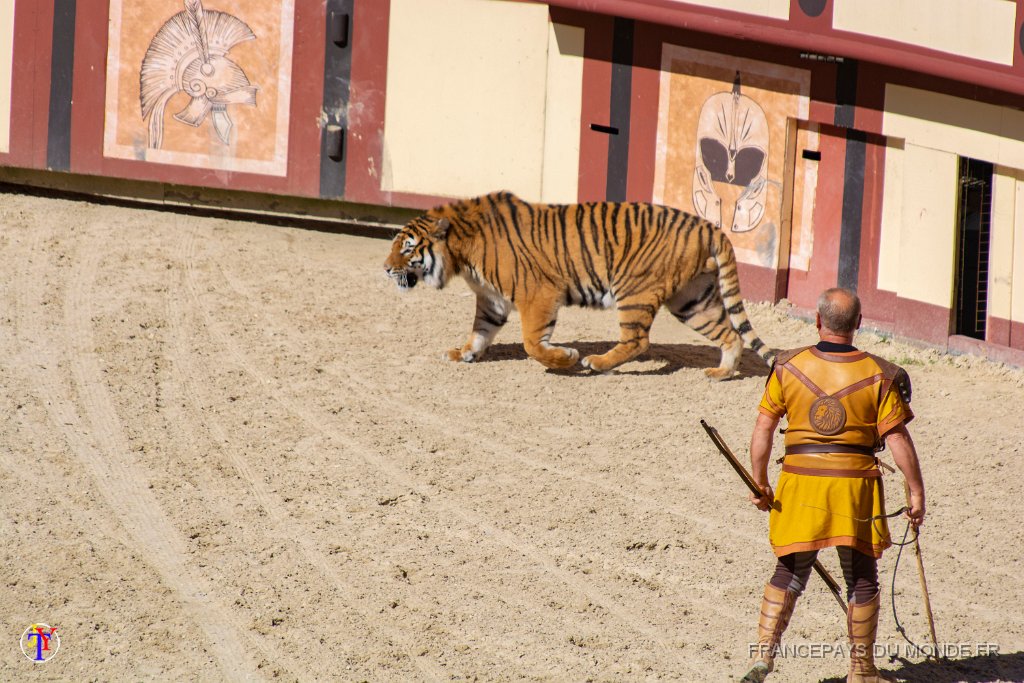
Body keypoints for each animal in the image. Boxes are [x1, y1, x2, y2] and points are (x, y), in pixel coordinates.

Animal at [385, 189, 774, 376]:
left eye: (407, 248)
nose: (386, 269)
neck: (462, 254)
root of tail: (708, 225)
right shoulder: (492, 300)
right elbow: (479, 332)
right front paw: (463, 353)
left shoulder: (538, 294)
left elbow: (532, 343)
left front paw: (565, 358)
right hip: (692, 301)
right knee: (730, 333)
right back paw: (721, 373)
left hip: (635, 291)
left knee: (637, 340)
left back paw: (595, 363)